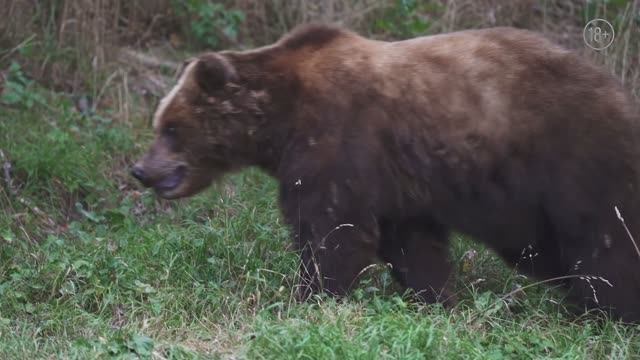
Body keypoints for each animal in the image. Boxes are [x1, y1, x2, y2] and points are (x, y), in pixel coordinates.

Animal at [131, 23, 640, 322]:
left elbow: (332, 231)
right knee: (549, 251)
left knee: (604, 243)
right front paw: (436, 299)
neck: (281, 119)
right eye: (159, 123)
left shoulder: (339, 139)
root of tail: (621, 95)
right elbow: (411, 245)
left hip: (570, 161)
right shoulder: (395, 179)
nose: (141, 170)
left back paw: (607, 312)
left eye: (172, 127)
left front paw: (309, 296)